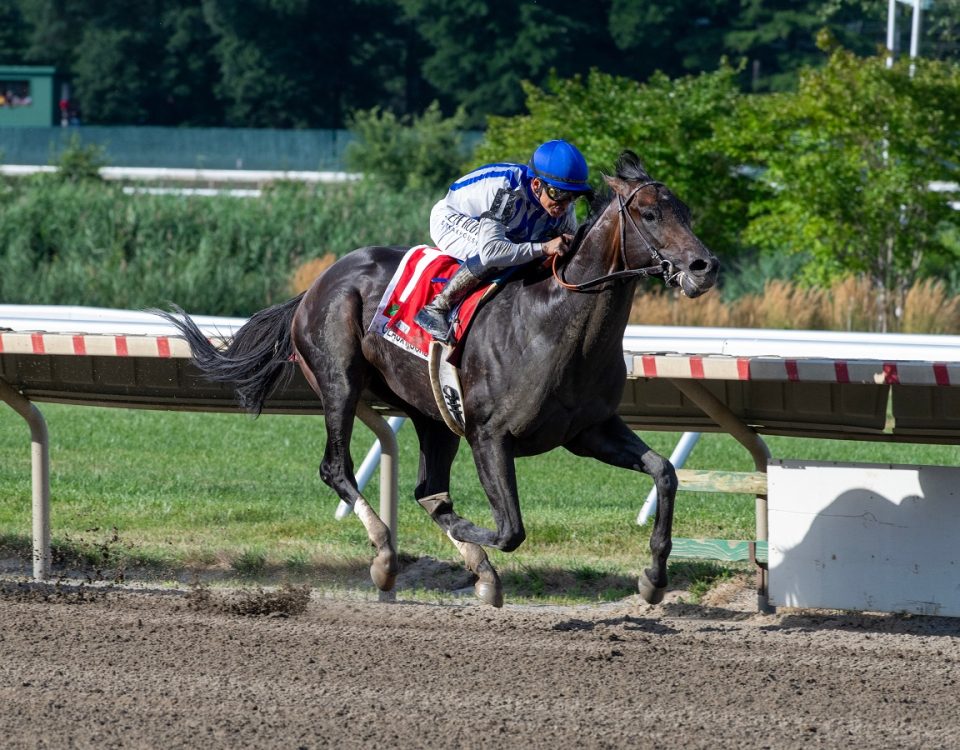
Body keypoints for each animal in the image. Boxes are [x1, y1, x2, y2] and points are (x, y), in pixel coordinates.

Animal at [161, 150, 716, 608]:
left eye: (687, 212)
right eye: (649, 214)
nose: (703, 265)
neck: (555, 325)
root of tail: (317, 282)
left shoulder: (588, 431)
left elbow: (665, 472)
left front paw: (653, 578)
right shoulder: (490, 436)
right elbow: (508, 529)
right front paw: (468, 538)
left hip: (431, 413)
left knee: (428, 489)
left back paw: (472, 570)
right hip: (339, 382)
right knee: (338, 468)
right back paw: (386, 555)